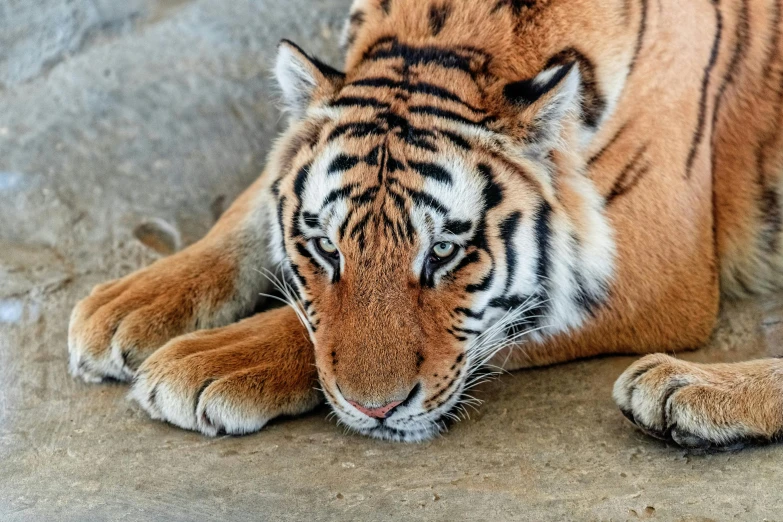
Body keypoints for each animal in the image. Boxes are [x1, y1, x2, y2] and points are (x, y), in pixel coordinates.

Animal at [66, 0, 783, 446]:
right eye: (325, 247)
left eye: (443, 253)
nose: (374, 410)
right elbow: (249, 212)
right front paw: (127, 304)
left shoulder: (656, 262)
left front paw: (203, 363)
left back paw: (684, 388)